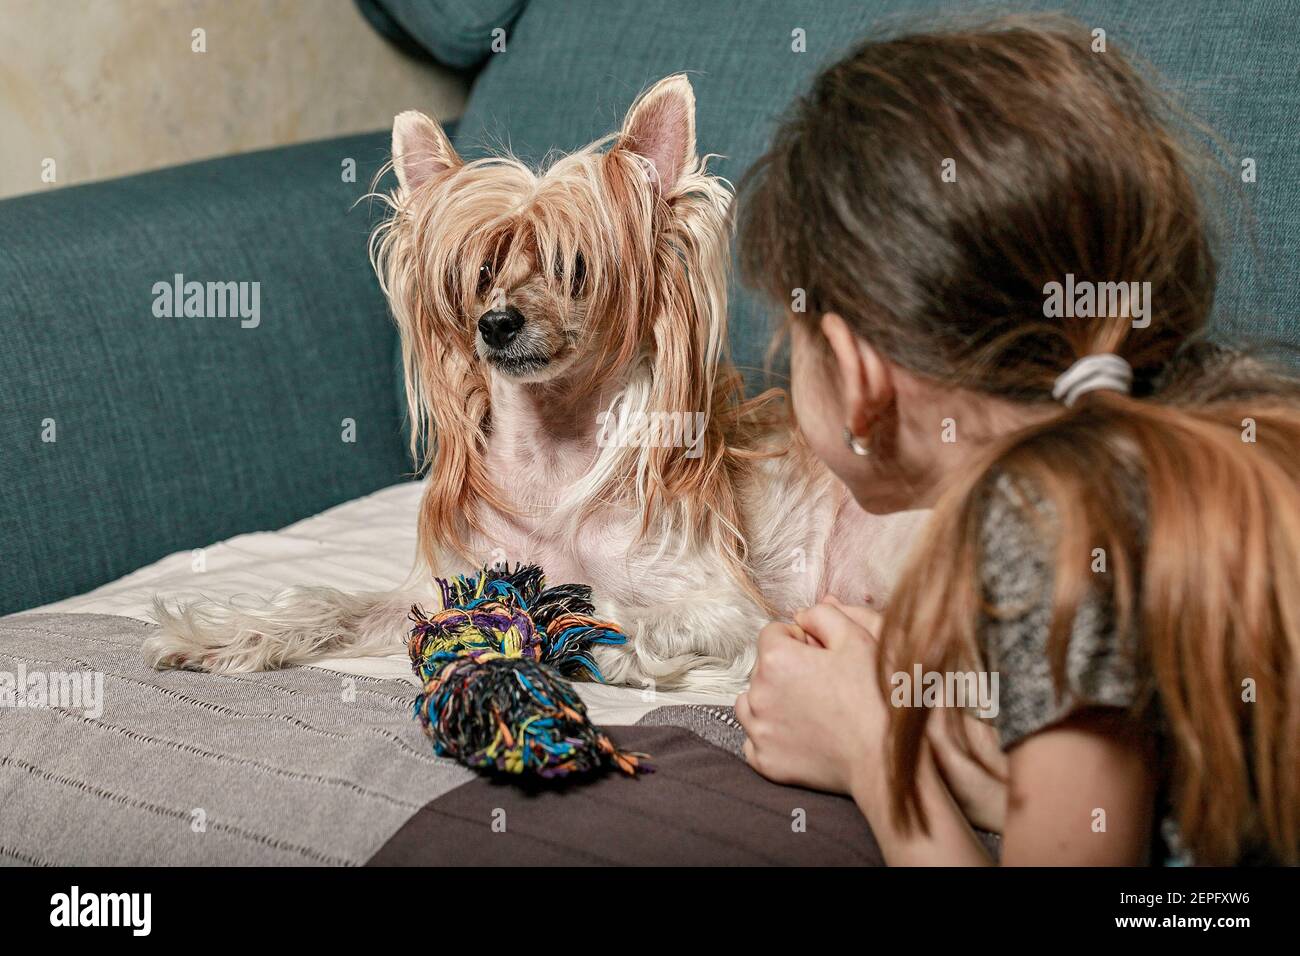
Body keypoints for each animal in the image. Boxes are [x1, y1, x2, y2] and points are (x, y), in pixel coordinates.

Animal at [147, 72, 920, 686]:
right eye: (480, 272)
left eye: (572, 268)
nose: (496, 323)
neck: (552, 453)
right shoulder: (437, 591)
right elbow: (329, 602)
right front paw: (220, 635)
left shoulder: (725, 605)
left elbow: (628, 610)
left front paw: (596, 645)